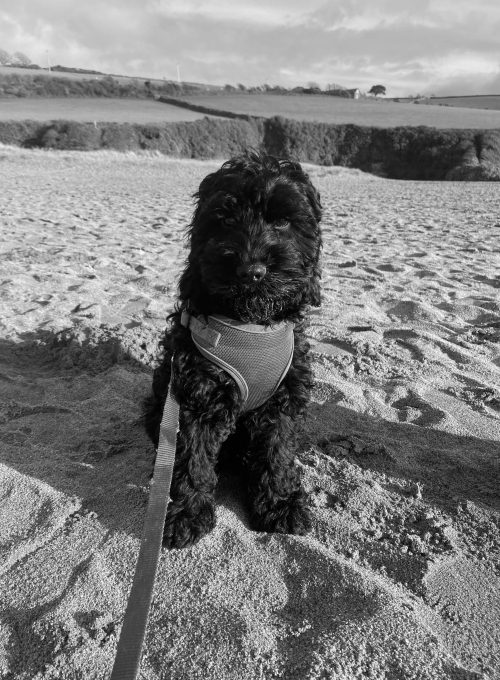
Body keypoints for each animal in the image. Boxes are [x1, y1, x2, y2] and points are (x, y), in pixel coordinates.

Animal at [145, 151, 324, 548]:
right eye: (224, 219)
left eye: (283, 221)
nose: (251, 270)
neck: (249, 324)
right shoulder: (197, 396)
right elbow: (192, 460)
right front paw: (187, 514)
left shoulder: (282, 401)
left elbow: (277, 453)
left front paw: (280, 504)